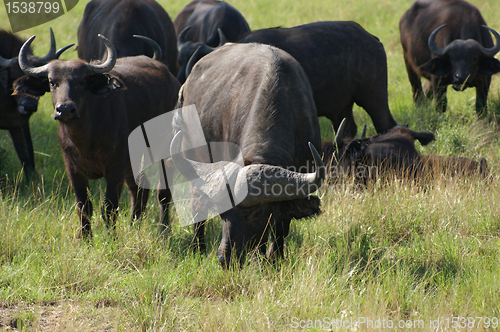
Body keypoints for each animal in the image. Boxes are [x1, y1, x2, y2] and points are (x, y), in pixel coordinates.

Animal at [0, 28, 71, 179]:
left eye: (39, 82)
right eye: (15, 79)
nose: (29, 106)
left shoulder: (19, 124)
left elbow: (27, 155)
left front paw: (32, 180)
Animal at [17, 34, 182, 239]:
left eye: (81, 81)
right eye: (52, 82)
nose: (65, 109)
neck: (85, 141)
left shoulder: (115, 167)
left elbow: (109, 207)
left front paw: (111, 238)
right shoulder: (73, 168)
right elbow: (84, 207)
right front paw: (85, 238)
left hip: (164, 152)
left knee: (163, 193)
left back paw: (163, 231)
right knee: (139, 190)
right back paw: (134, 225)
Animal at [170, 43, 326, 268]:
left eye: (255, 212)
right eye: (223, 211)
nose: (224, 258)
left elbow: (281, 226)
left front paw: (274, 259)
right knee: (197, 205)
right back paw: (197, 248)